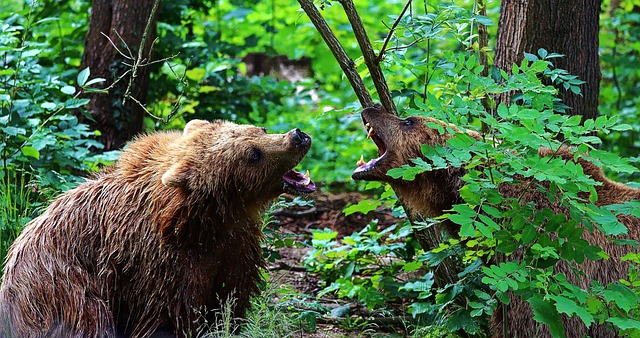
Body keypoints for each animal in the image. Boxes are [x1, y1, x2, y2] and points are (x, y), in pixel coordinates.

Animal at [0, 119, 316, 338]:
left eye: (260, 128)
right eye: (253, 154)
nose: (298, 136)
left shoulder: (234, 248)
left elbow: (230, 299)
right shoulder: (157, 263)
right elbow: (168, 315)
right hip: (60, 287)